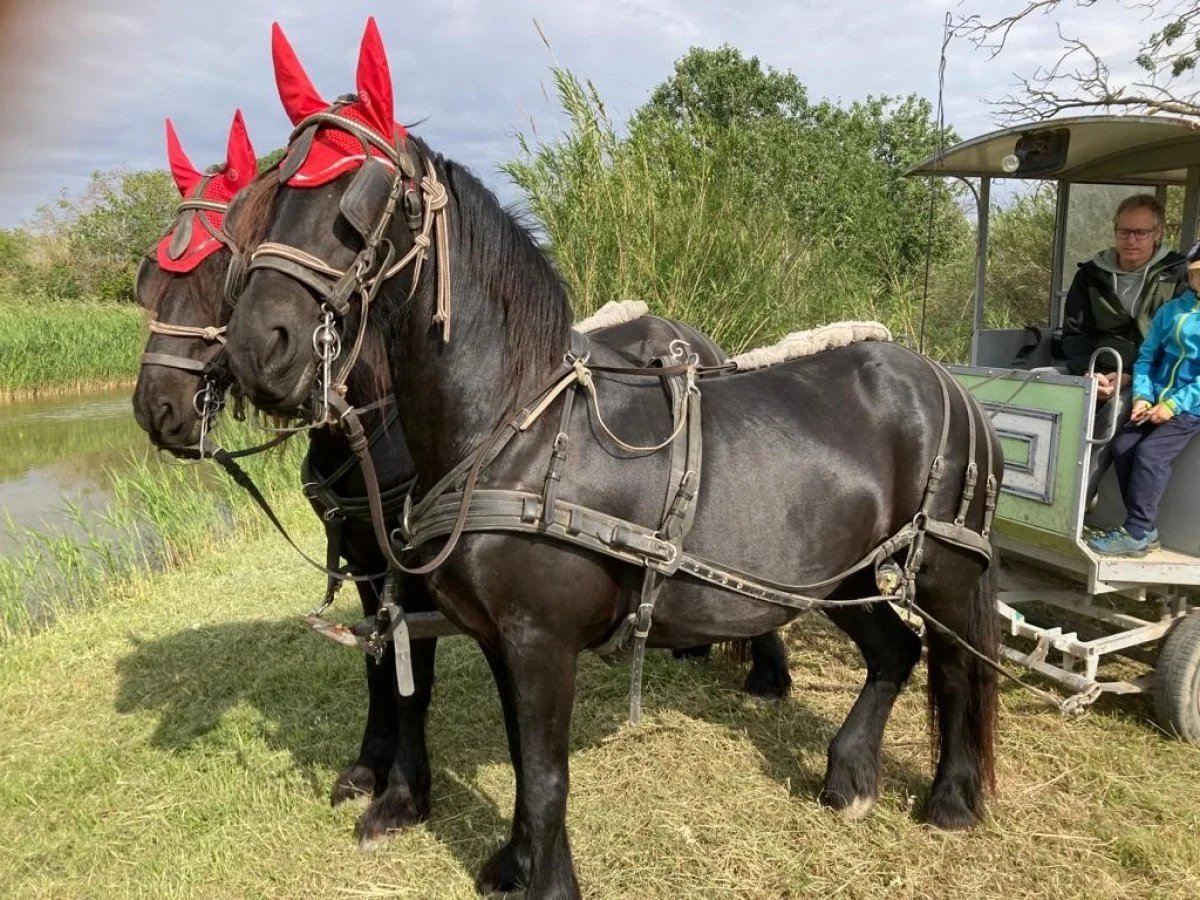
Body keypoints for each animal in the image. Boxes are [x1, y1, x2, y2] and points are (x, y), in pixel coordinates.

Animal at [132, 108, 791, 850]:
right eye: (151, 278)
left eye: (223, 265)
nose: (157, 408)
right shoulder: (367, 564)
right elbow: (378, 669)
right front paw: (367, 767)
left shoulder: (411, 572)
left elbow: (411, 677)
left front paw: (401, 795)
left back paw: (768, 669)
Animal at [222, 20, 1002, 899]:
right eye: (274, 193)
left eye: (360, 197)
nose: (258, 346)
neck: (517, 434)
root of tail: (943, 380)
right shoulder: (500, 638)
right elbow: (523, 762)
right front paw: (514, 862)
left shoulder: (539, 637)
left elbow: (546, 774)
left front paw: (547, 880)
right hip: (842, 575)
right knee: (896, 653)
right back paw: (849, 775)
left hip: (942, 571)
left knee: (959, 668)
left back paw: (951, 798)